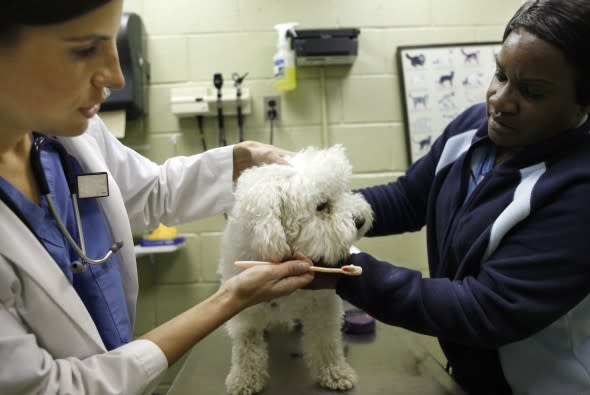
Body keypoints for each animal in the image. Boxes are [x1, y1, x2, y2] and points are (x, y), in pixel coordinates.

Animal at [217, 145, 374, 395]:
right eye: (321, 206)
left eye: (343, 191)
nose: (360, 219)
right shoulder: (245, 314)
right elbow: (246, 346)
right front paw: (245, 378)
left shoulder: (323, 307)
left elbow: (325, 341)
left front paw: (334, 372)